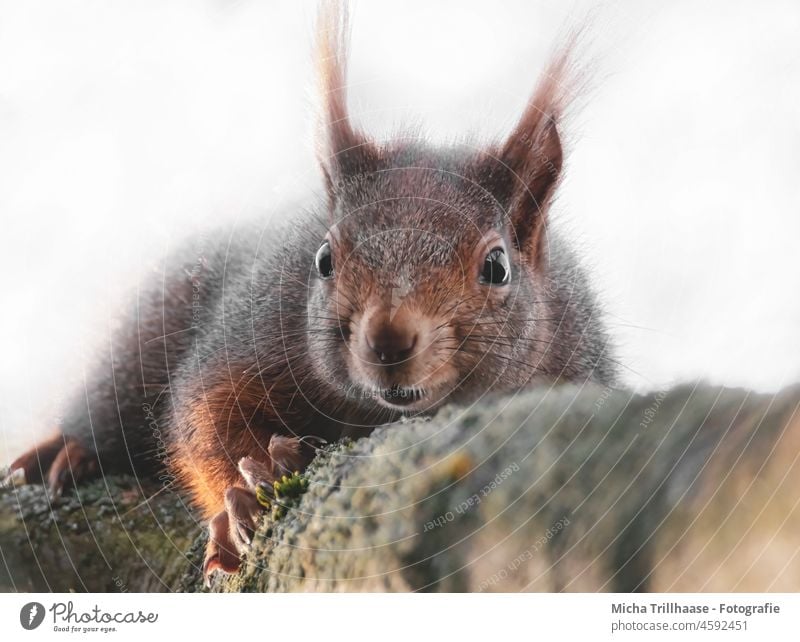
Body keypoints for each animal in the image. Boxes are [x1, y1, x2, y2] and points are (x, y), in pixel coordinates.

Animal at [0, 3, 616, 584]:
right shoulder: (251, 329)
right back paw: (68, 452)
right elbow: (205, 418)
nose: (388, 341)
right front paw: (244, 501)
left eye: (497, 266)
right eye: (323, 259)